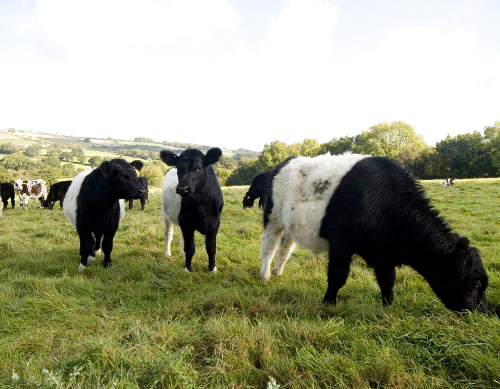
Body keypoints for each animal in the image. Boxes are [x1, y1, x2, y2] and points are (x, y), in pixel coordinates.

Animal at [262, 153, 488, 314]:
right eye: (476, 284)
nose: (484, 313)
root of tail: (284, 163)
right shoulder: (341, 243)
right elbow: (338, 276)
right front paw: (328, 303)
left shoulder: (383, 255)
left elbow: (388, 280)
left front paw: (388, 307)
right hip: (273, 218)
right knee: (269, 247)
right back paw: (265, 275)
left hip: (290, 225)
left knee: (285, 247)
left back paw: (278, 272)